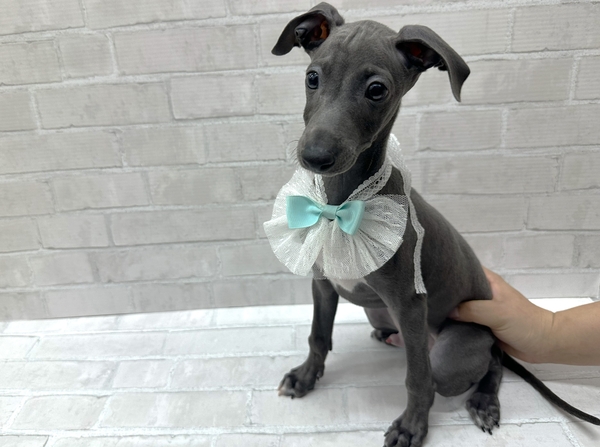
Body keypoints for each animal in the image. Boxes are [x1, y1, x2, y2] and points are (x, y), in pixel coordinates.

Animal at [266, 4, 600, 447]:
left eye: (377, 90)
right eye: (312, 77)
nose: (315, 156)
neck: (343, 206)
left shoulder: (409, 304)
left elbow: (417, 380)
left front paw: (412, 426)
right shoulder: (323, 285)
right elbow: (318, 335)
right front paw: (305, 377)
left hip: (457, 346)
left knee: (486, 365)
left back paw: (484, 401)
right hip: (379, 314)